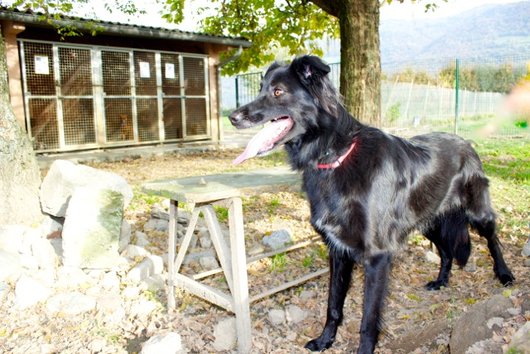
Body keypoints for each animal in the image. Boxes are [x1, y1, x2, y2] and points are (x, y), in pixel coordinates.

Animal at [228, 55, 512, 352]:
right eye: (261, 88)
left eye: (278, 92)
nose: (232, 117)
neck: (335, 156)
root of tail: (466, 143)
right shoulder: (338, 251)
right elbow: (333, 305)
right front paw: (325, 340)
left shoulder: (377, 256)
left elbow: (368, 318)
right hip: (428, 219)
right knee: (446, 251)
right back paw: (441, 281)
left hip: (477, 213)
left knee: (492, 240)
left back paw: (504, 274)